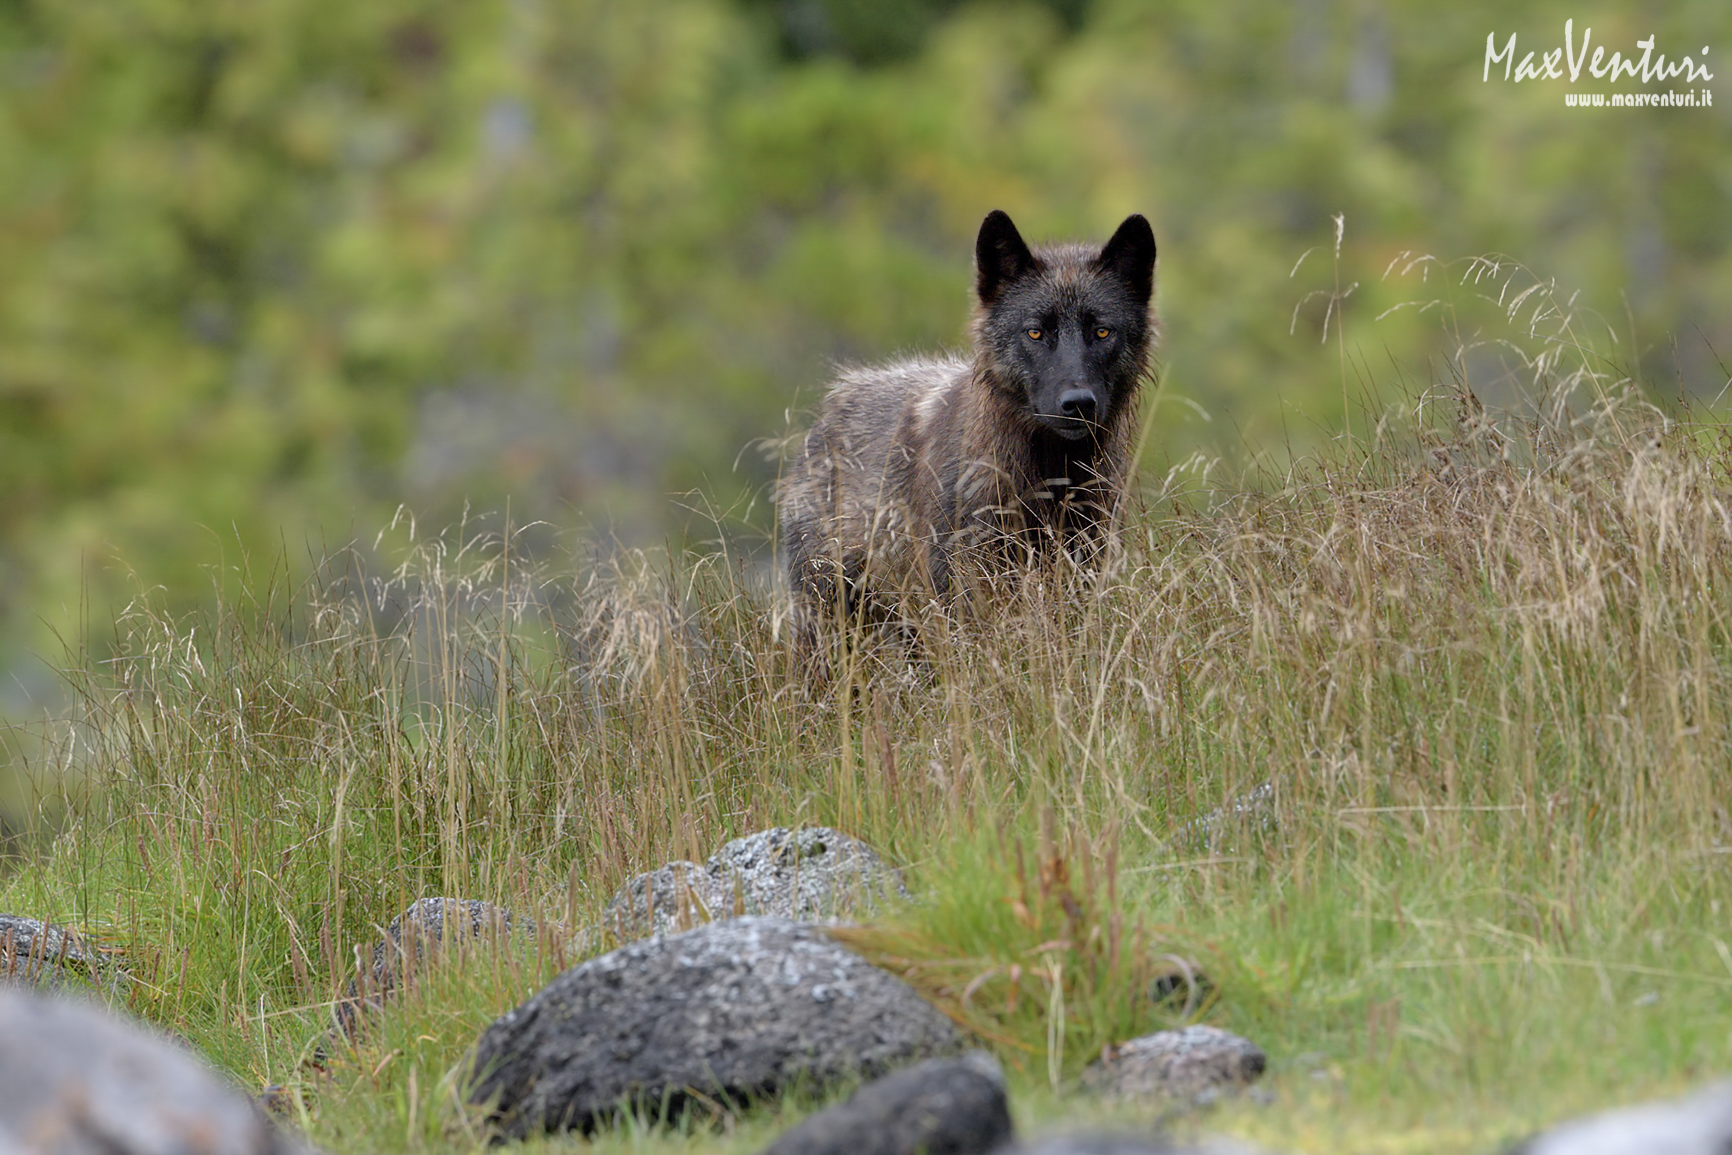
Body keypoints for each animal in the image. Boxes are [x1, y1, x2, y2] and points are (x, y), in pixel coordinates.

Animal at [778, 208, 1158, 651]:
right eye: (1035, 332)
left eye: (1102, 331)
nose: (1078, 404)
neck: (1049, 474)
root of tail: (832, 403)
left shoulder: (1082, 568)